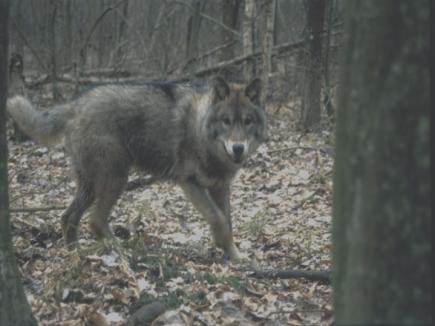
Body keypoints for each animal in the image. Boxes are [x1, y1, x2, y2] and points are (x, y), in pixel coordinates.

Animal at [6, 76, 268, 260]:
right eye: (226, 121)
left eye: (247, 122)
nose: (238, 149)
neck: (201, 131)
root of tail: (76, 104)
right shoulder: (189, 183)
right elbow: (218, 218)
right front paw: (221, 245)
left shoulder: (220, 187)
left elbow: (229, 222)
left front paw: (234, 255)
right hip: (115, 180)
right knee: (95, 221)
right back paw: (120, 249)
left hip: (91, 186)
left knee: (68, 217)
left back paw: (76, 254)